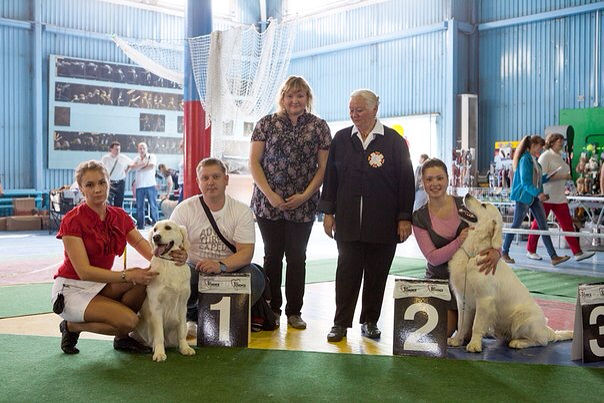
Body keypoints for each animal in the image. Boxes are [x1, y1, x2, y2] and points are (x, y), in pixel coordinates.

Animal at [133, 219, 196, 362]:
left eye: (168, 228)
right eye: (155, 229)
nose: (156, 237)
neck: (169, 263)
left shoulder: (182, 306)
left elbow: (181, 331)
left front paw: (185, 348)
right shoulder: (156, 306)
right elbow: (159, 335)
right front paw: (159, 353)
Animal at [447, 194, 573, 352]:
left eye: (483, 205)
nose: (467, 194)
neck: (472, 253)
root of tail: (547, 330)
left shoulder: (484, 299)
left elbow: (476, 324)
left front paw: (474, 344)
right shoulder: (462, 298)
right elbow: (461, 324)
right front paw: (457, 340)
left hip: (523, 319)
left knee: (541, 341)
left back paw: (518, 342)